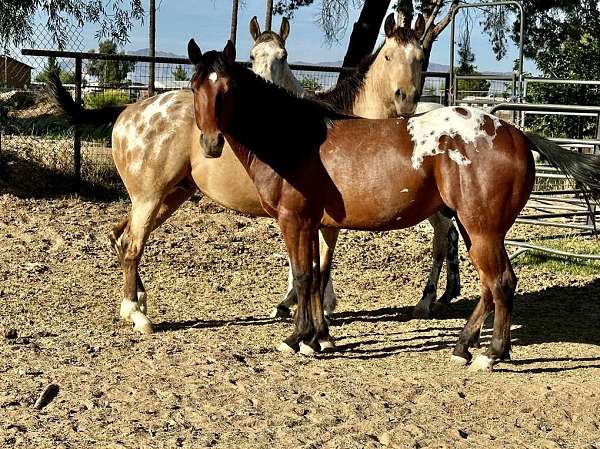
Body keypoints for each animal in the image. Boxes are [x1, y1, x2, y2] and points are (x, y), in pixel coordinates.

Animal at [190, 40, 600, 370]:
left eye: (227, 88)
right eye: (196, 87)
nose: (210, 143)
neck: (294, 138)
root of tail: (516, 134)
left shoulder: (295, 220)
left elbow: (304, 276)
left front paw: (296, 339)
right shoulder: (316, 224)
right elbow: (316, 276)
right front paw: (317, 339)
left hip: (481, 229)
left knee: (500, 282)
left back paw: (490, 354)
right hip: (476, 230)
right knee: (489, 286)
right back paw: (462, 348)